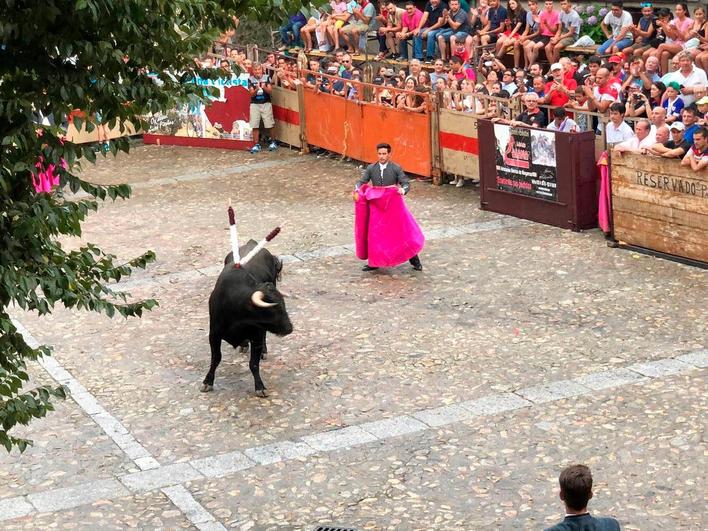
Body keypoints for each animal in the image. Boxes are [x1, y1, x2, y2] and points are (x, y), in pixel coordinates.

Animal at [202, 241, 294, 394]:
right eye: (273, 309)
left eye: (283, 305)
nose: (289, 328)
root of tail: (252, 243)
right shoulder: (214, 334)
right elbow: (216, 358)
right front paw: (207, 382)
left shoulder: (256, 336)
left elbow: (254, 364)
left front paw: (260, 387)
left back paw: (263, 351)